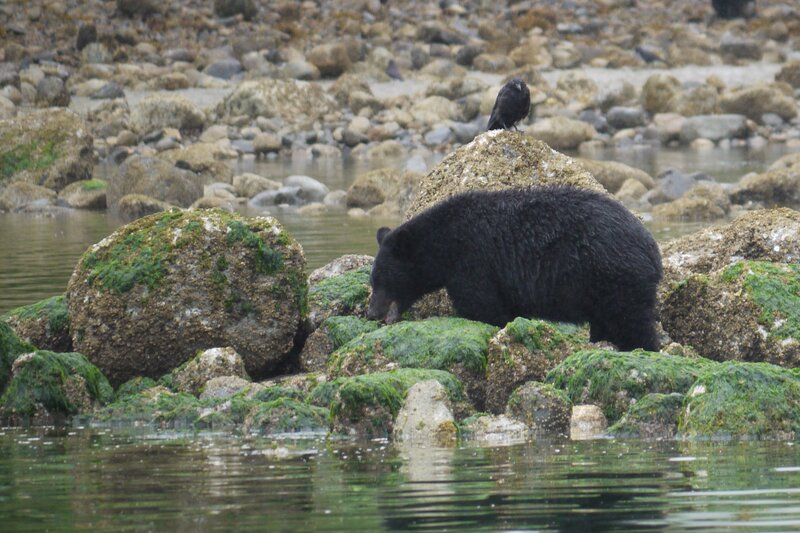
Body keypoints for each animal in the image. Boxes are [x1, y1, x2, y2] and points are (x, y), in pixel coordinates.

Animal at [367, 187, 663, 352]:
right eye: (372, 281)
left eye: (383, 280)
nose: (371, 313)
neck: (445, 241)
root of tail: (652, 249)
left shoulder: (473, 263)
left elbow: (483, 308)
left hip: (613, 275)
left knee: (631, 321)